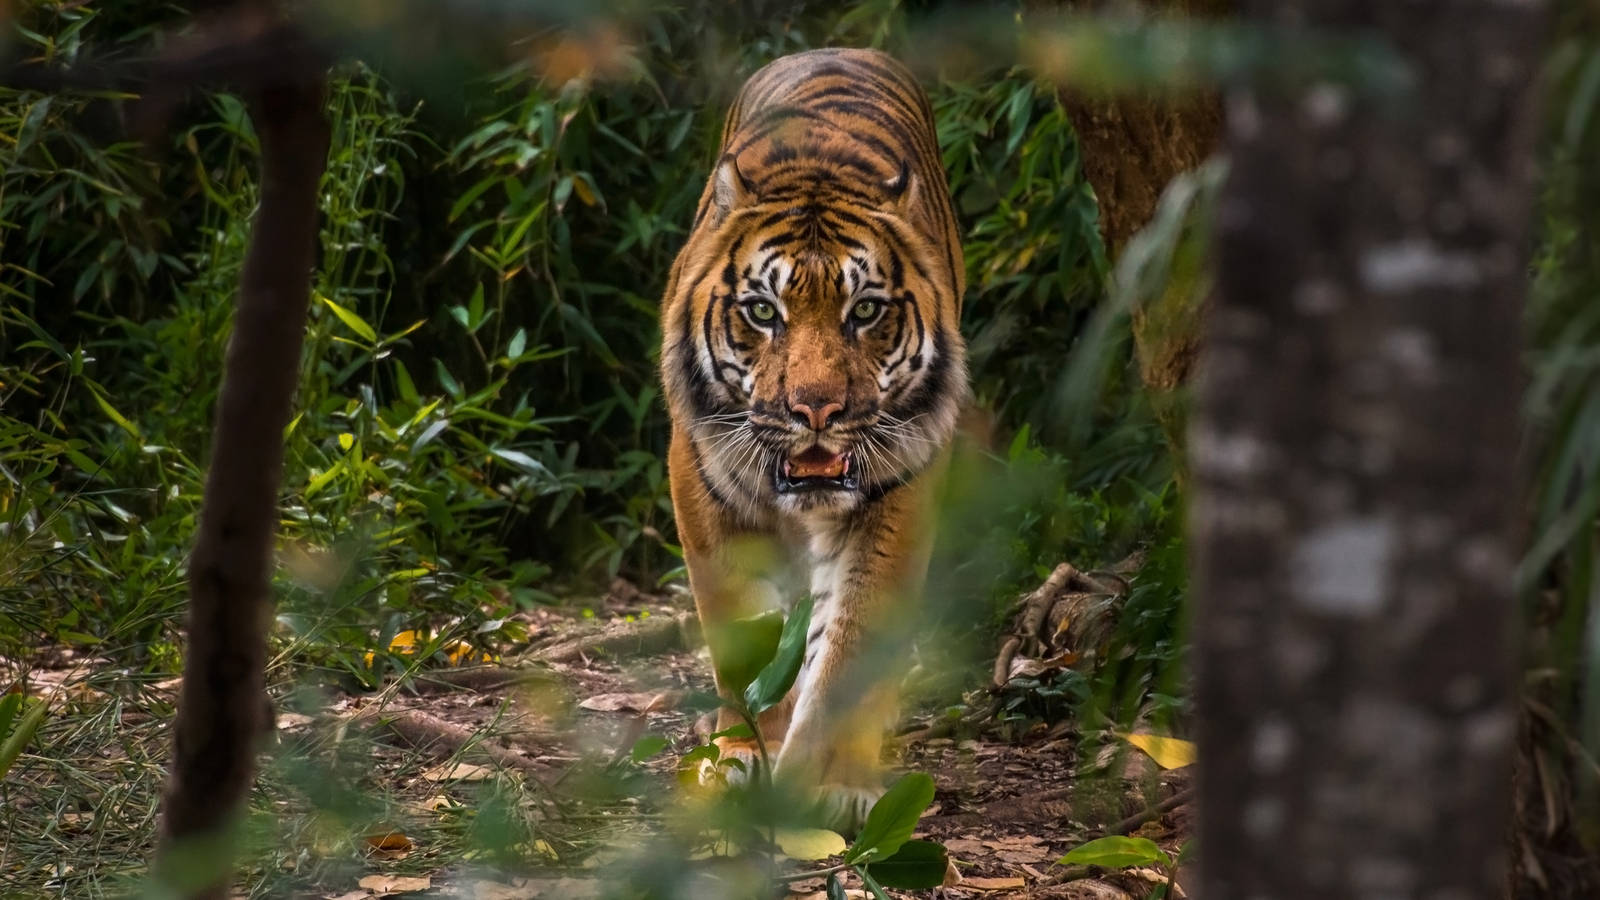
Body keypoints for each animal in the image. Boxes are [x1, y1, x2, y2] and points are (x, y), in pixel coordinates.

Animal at [659, 47, 968, 830]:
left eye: (866, 311)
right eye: (763, 312)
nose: (817, 409)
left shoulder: (899, 492)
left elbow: (851, 647)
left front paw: (824, 779)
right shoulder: (702, 482)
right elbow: (745, 635)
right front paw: (745, 754)